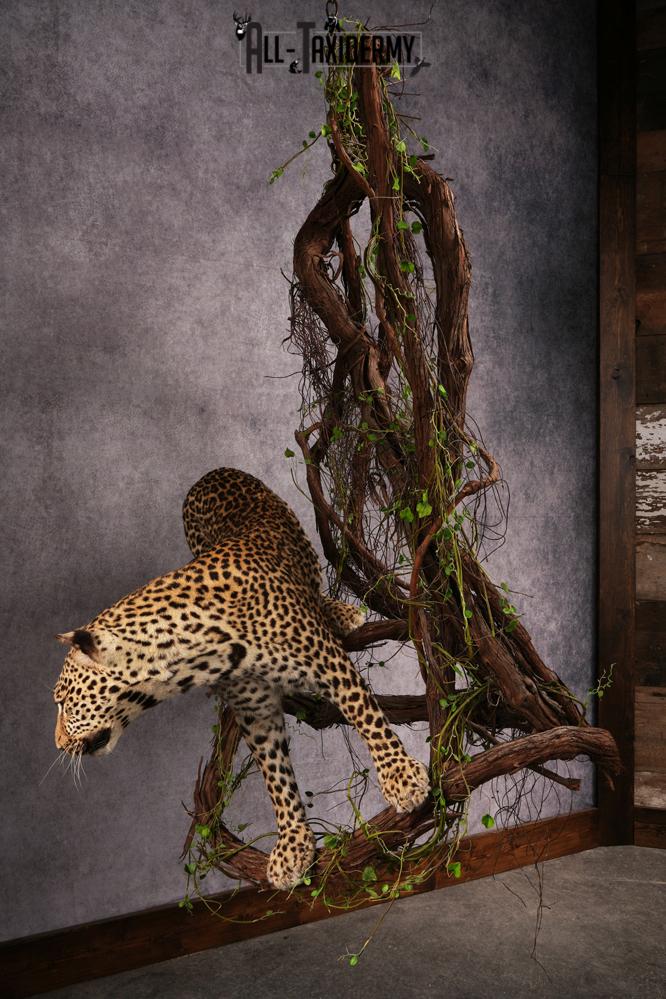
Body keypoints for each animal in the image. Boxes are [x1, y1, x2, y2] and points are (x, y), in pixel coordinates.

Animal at [52, 467, 430, 889]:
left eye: (63, 702)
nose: (58, 744)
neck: (193, 653)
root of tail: (210, 474)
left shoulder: (328, 663)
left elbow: (366, 716)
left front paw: (401, 778)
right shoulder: (254, 707)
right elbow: (274, 772)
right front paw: (292, 845)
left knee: (316, 588)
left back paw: (339, 611)